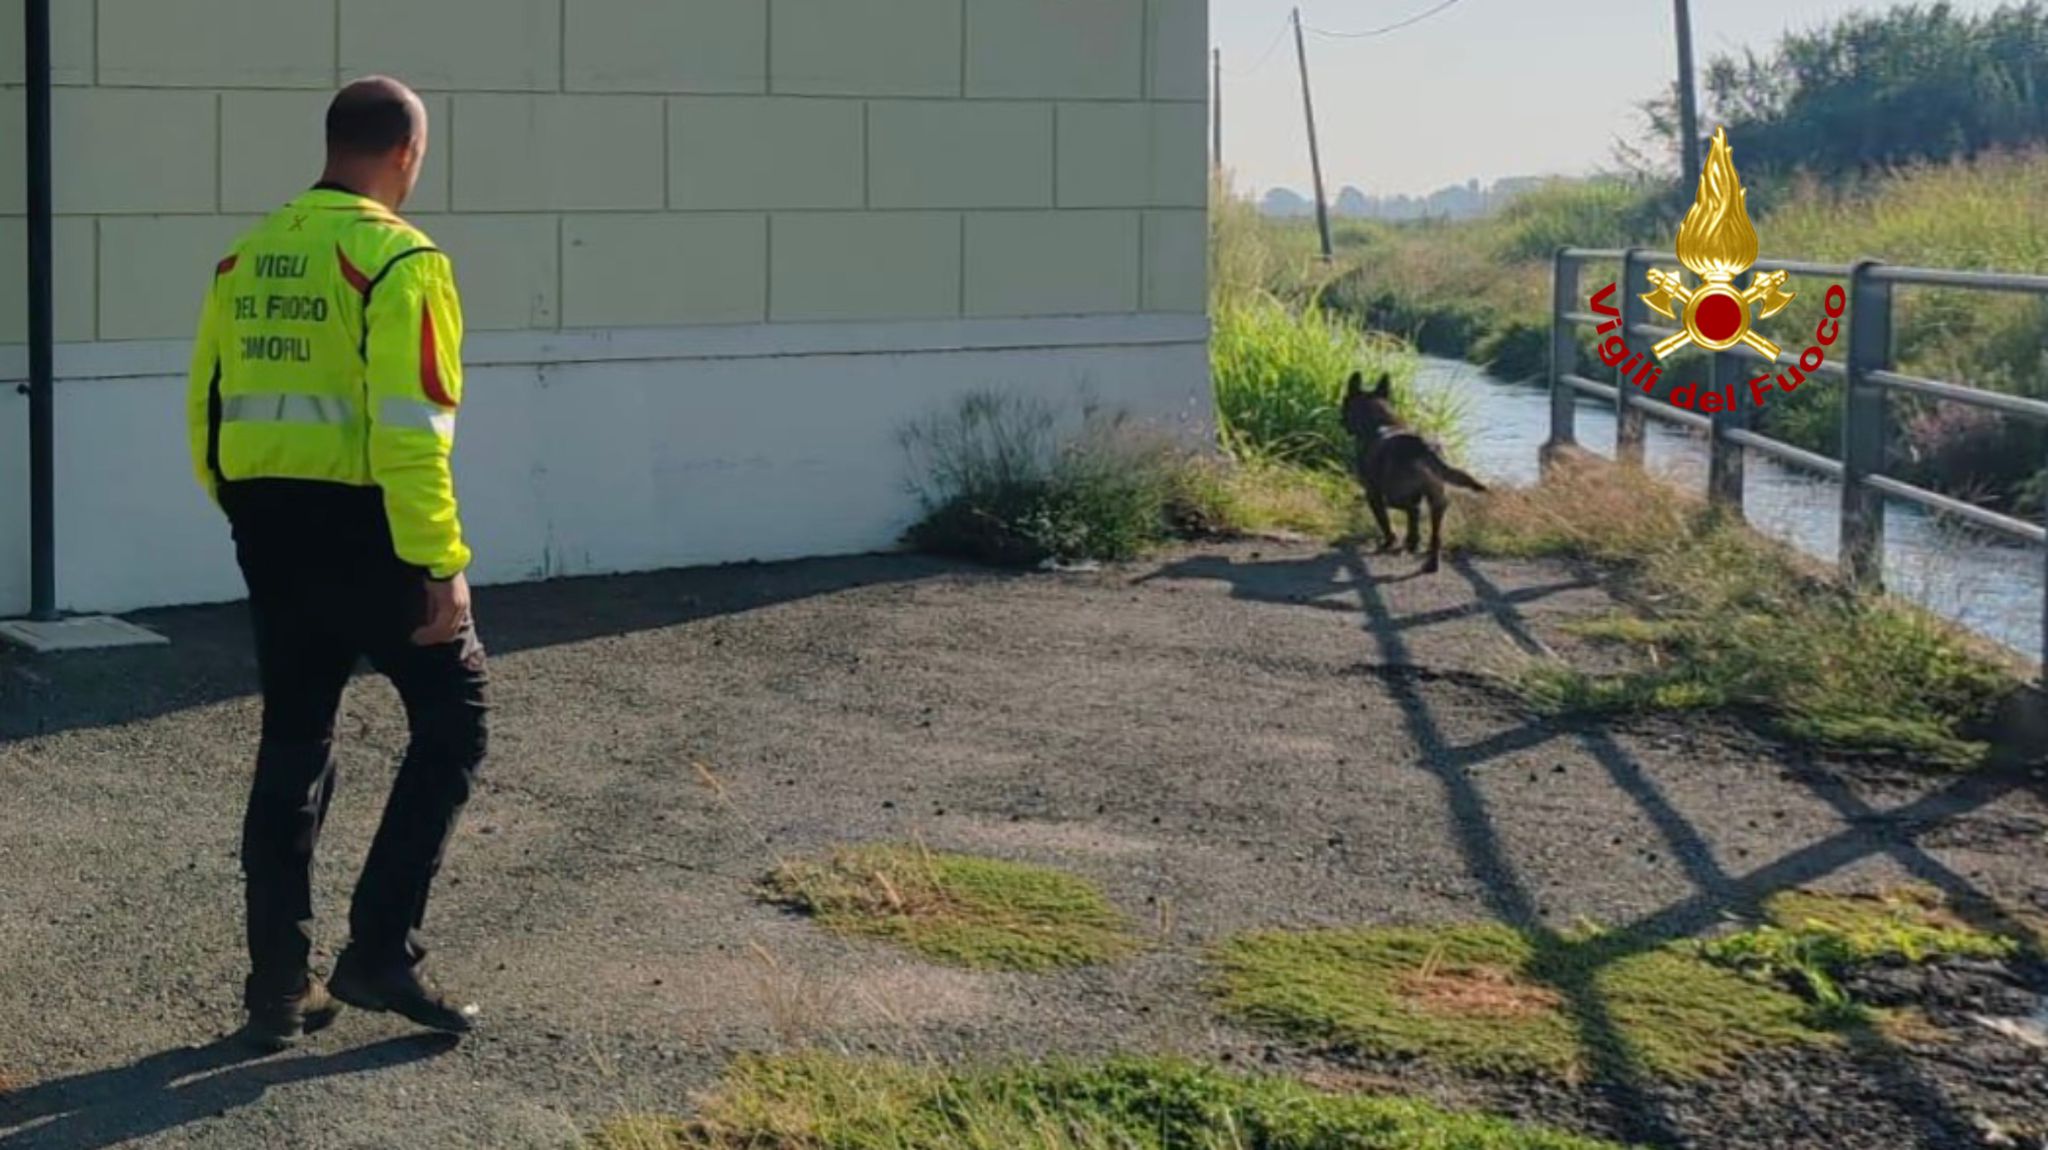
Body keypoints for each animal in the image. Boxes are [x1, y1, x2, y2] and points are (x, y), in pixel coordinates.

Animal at [1335, 368, 1482, 568]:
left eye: (1344, 403)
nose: (1340, 421)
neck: (1382, 423)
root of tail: (1423, 447)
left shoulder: (1373, 494)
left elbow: (1384, 521)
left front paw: (1389, 541)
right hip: (1437, 502)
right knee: (1434, 533)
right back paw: (1429, 561)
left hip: (1394, 494)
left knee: (1411, 510)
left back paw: (1412, 543)